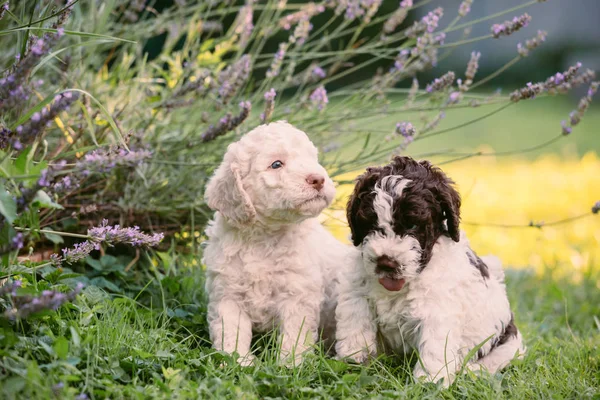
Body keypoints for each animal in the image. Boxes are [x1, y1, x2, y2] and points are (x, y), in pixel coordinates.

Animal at [204, 121, 350, 366]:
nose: (318, 179)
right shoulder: (228, 293)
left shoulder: (297, 295)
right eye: (276, 164)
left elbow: (295, 334)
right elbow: (230, 330)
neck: (265, 237)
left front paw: (291, 364)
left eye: (312, 158)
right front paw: (236, 361)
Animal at [336, 155, 524, 384]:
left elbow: (435, 348)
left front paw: (430, 381)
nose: (386, 263)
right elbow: (355, 324)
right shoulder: (356, 291)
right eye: (370, 223)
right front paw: (354, 360)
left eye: (412, 226)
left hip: (508, 347)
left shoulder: (437, 311)